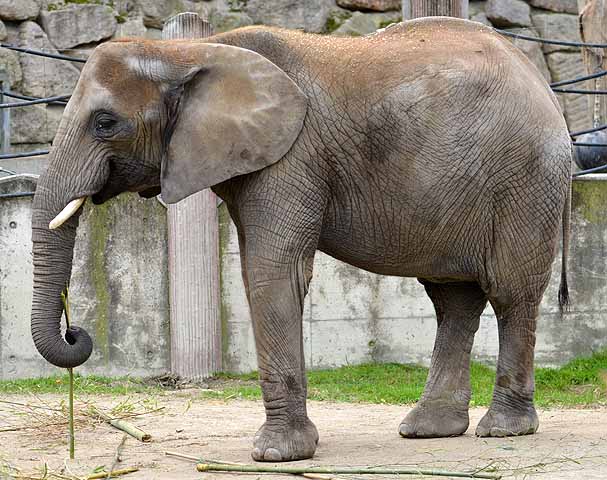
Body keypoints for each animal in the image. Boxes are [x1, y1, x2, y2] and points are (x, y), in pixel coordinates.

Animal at [32, 17, 576, 462]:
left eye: (105, 123)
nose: (76, 332)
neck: (189, 52)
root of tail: (544, 85)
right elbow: (260, 268)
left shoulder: (292, 156)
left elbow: (273, 272)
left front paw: (277, 454)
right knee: (453, 299)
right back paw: (429, 429)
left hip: (525, 178)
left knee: (511, 293)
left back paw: (504, 430)